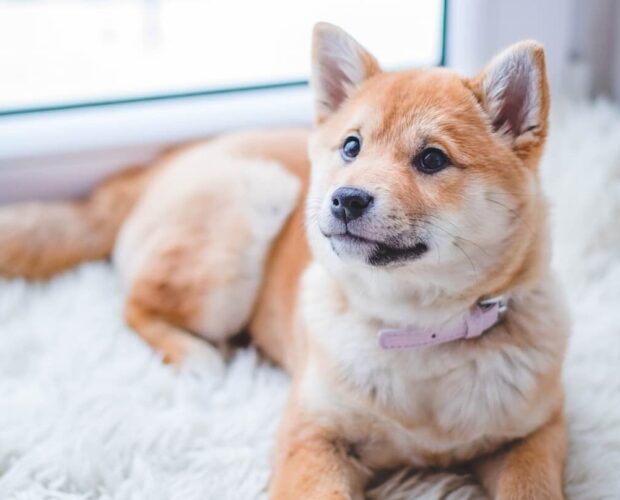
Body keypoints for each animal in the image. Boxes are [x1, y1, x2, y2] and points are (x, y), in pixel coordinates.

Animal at [2, 22, 568, 500]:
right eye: (351, 147)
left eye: (432, 159)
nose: (346, 199)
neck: (418, 332)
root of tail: (158, 164)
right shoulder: (313, 433)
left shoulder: (536, 431)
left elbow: (532, 486)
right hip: (246, 220)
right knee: (137, 306)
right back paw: (200, 357)